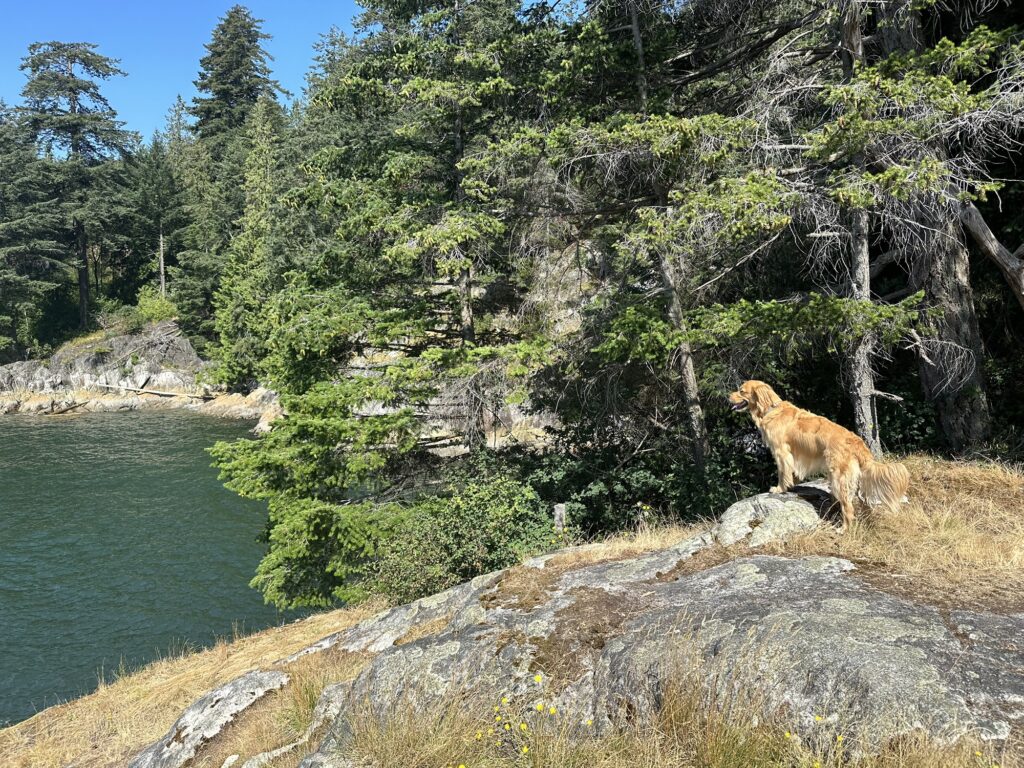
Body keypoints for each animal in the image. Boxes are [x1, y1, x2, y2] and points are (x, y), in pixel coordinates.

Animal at [729, 380, 913, 536]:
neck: (770, 409)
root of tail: (857, 442)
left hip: (839, 479)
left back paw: (843, 529)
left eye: (741, 391)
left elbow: (783, 473)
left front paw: (779, 488)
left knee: (848, 508)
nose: (727, 397)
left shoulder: (781, 452)